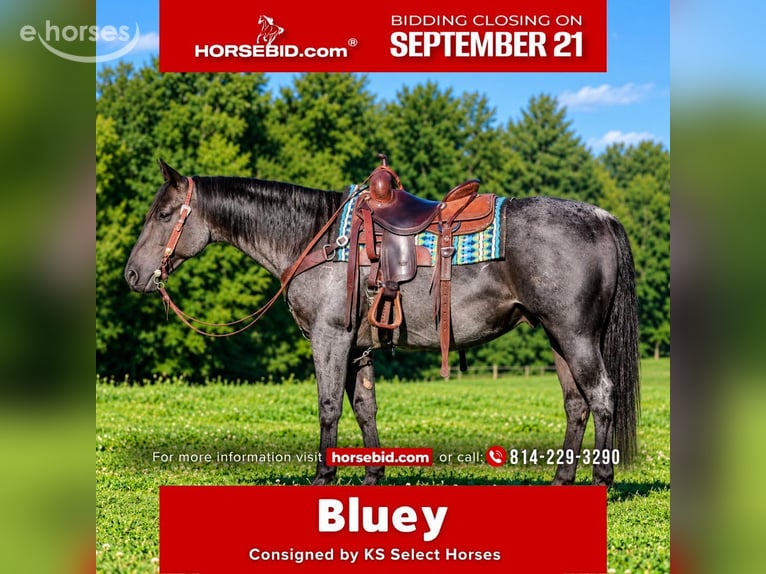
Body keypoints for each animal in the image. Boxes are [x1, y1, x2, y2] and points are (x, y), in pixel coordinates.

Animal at [124, 160, 640, 486]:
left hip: (575, 335)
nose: (132, 275)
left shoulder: (330, 338)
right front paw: (373, 473)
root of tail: (601, 217)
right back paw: (561, 479)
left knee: (601, 396)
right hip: (557, 337)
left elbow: (329, 406)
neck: (317, 240)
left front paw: (324, 476)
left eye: (164, 214)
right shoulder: (358, 346)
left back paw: (601, 479)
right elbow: (364, 407)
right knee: (576, 404)